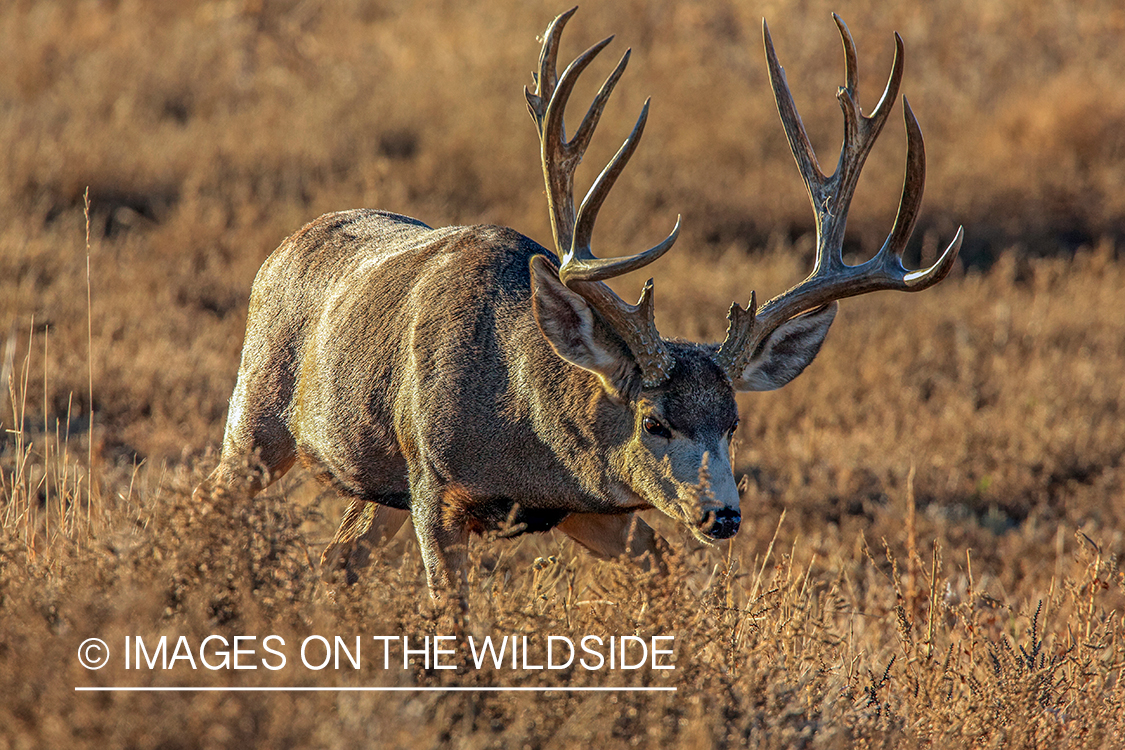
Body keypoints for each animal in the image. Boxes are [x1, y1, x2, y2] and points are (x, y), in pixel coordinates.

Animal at [193, 8, 958, 602]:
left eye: (734, 422)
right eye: (654, 422)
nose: (723, 516)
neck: (522, 422)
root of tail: (286, 244)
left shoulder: (591, 509)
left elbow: (660, 574)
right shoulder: (435, 489)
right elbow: (452, 618)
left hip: (376, 486)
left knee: (335, 561)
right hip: (257, 415)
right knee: (207, 502)